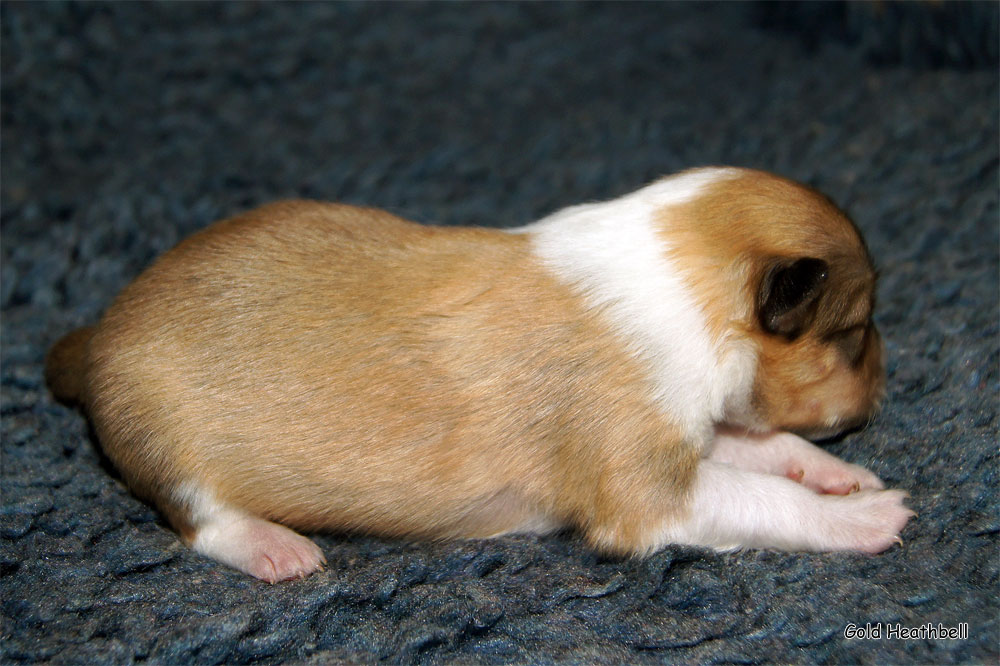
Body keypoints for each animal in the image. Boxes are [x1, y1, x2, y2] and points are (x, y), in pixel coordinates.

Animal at [47, 167, 916, 580]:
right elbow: (761, 495)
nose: (884, 389)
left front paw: (833, 474)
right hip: (167, 442)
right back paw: (276, 547)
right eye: (853, 334)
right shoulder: (643, 488)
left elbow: (758, 448)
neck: (681, 285)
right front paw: (865, 518)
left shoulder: (677, 427)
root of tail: (92, 340)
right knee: (202, 521)